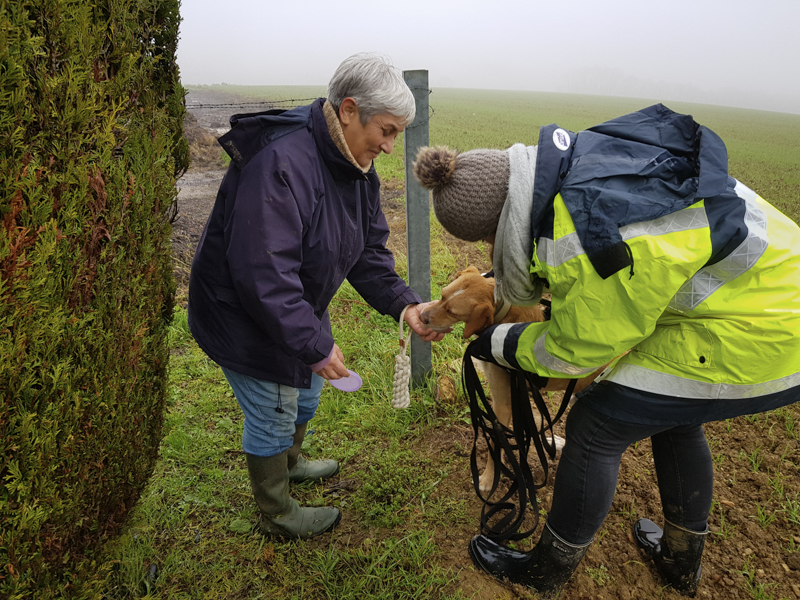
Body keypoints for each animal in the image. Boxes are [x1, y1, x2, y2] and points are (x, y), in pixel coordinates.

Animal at [422, 268, 604, 492]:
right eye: (442, 295)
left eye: (452, 312)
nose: (421, 316)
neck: (504, 317)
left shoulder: (503, 403)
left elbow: (497, 443)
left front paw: (488, 480)